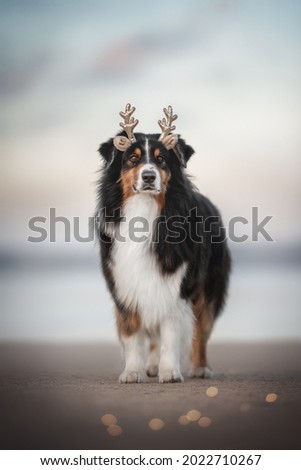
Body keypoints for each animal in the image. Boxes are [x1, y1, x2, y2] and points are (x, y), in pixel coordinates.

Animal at [95, 104, 231, 384]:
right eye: (132, 159)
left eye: (161, 160)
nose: (149, 177)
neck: (144, 210)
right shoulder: (124, 283)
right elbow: (132, 334)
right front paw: (132, 371)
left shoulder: (176, 284)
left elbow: (171, 332)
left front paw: (170, 372)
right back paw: (151, 365)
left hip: (208, 289)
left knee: (201, 330)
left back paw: (200, 368)